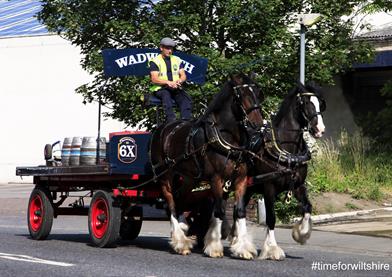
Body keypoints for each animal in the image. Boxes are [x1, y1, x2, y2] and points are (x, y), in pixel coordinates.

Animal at [150, 72, 264, 258]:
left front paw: (243, 248)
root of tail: (161, 128)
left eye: (258, 93)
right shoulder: (216, 179)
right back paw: (180, 241)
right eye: (241, 96)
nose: (259, 125)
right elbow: (219, 210)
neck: (226, 138)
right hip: (164, 176)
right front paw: (214, 247)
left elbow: (239, 211)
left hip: (189, 178)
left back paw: (183, 229)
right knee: (171, 203)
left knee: (179, 198)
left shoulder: (240, 179)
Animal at [247, 82, 326, 258]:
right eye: (306, 103)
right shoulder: (269, 187)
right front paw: (272, 249)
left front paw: (300, 234)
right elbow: (271, 217)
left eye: (320, 104)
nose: (320, 129)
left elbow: (307, 208)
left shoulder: (297, 185)